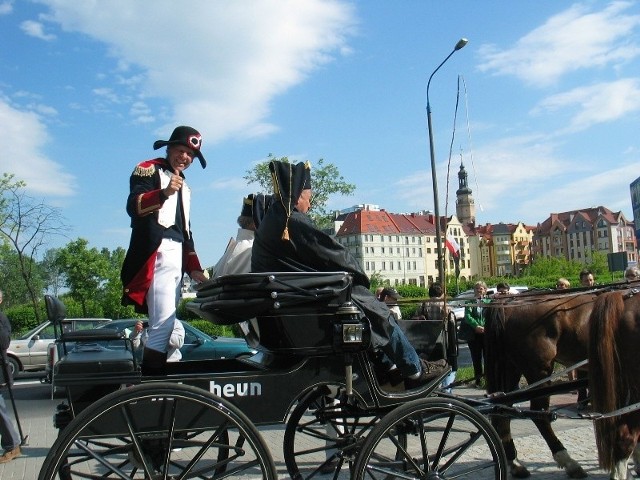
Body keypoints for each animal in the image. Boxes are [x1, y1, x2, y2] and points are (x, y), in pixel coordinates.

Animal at [484, 286, 600, 478]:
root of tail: (506, 303)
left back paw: (514, 463)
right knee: (539, 413)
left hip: (509, 369)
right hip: (539, 370)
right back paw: (568, 461)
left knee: (503, 408)